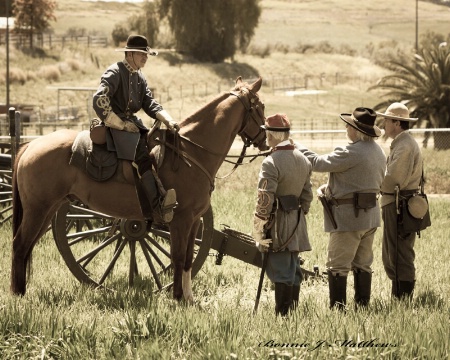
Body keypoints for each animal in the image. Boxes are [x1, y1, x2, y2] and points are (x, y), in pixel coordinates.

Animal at [10, 76, 268, 300]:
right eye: (260, 106)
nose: (265, 141)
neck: (191, 152)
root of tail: (30, 145)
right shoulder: (181, 220)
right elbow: (176, 257)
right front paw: (177, 297)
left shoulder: (195, 221)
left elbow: (187, 259)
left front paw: (188, 298)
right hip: (38, 210)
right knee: (20, 244)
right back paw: (17, 293)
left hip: (48, 211)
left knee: (26, 245)